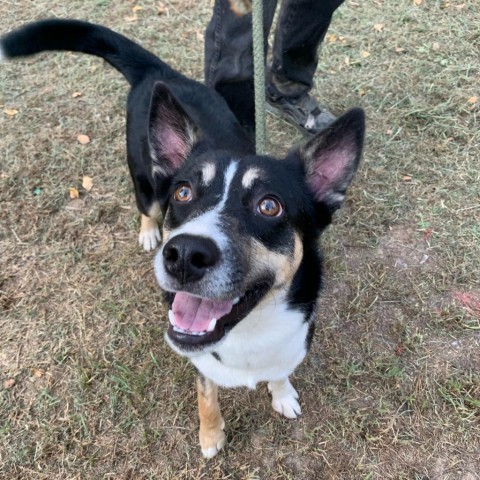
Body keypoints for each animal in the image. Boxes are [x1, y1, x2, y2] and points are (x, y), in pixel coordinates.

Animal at [0, 20, 364, 460]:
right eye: (185, 193)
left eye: (269, 206)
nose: (185, 254)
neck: (250, 326)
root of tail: (160, 72)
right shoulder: (200, 361)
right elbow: (206, 396)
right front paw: (211, 437)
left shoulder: (294, 342)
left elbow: (280, 373)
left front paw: (282, 396)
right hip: (145, 181)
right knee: (145, 203)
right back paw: (148, 231)